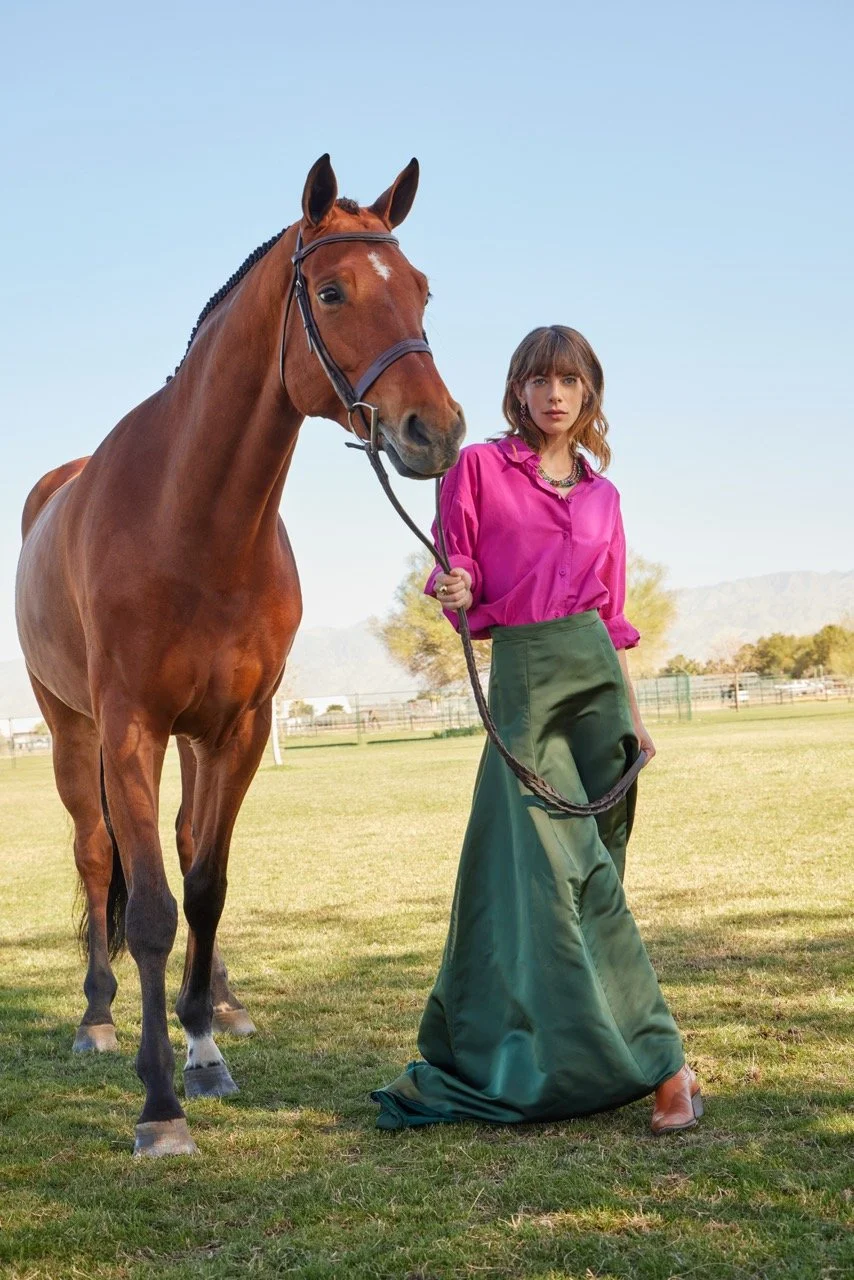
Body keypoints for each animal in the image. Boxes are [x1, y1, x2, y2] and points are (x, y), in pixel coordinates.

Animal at [15, 155, 464, 1156]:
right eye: (332, 292)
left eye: (422, 289)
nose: (437, 431)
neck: (191, 518)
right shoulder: (130, 729)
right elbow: (148, 910)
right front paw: (159, 1105)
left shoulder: (240, 728)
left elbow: (208, 887)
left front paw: (205, 1051)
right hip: (73, 735)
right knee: (97, 854)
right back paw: (97, 1019)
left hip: (196, 738)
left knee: (187, 848)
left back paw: (217, 1005)